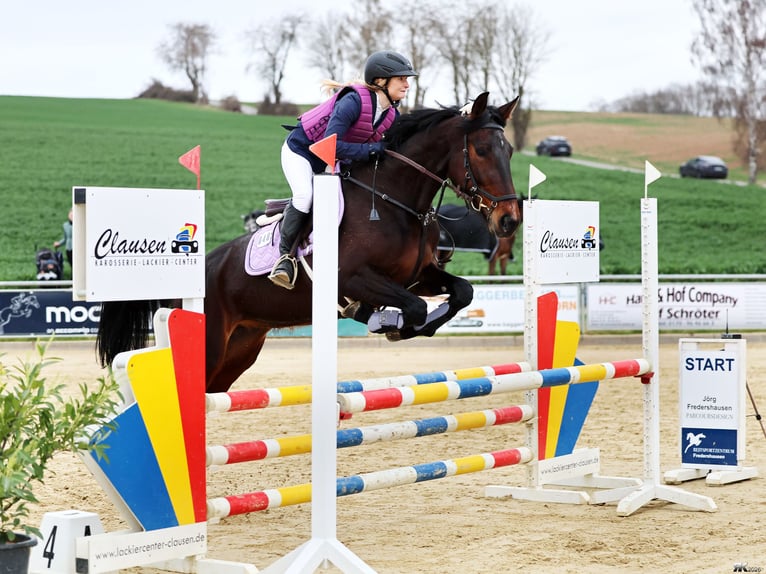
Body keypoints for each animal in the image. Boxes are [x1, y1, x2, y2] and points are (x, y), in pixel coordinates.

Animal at [96, 92, 521, 393]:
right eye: (481, 150)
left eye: (511, 150)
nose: (509, 220)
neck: (395, 200)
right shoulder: (352, 278)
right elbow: (413, 307)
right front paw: (391, 323)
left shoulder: (417, 275)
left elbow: (462, 292)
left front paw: (413, 323)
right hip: (212, 343)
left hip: (242, 346)